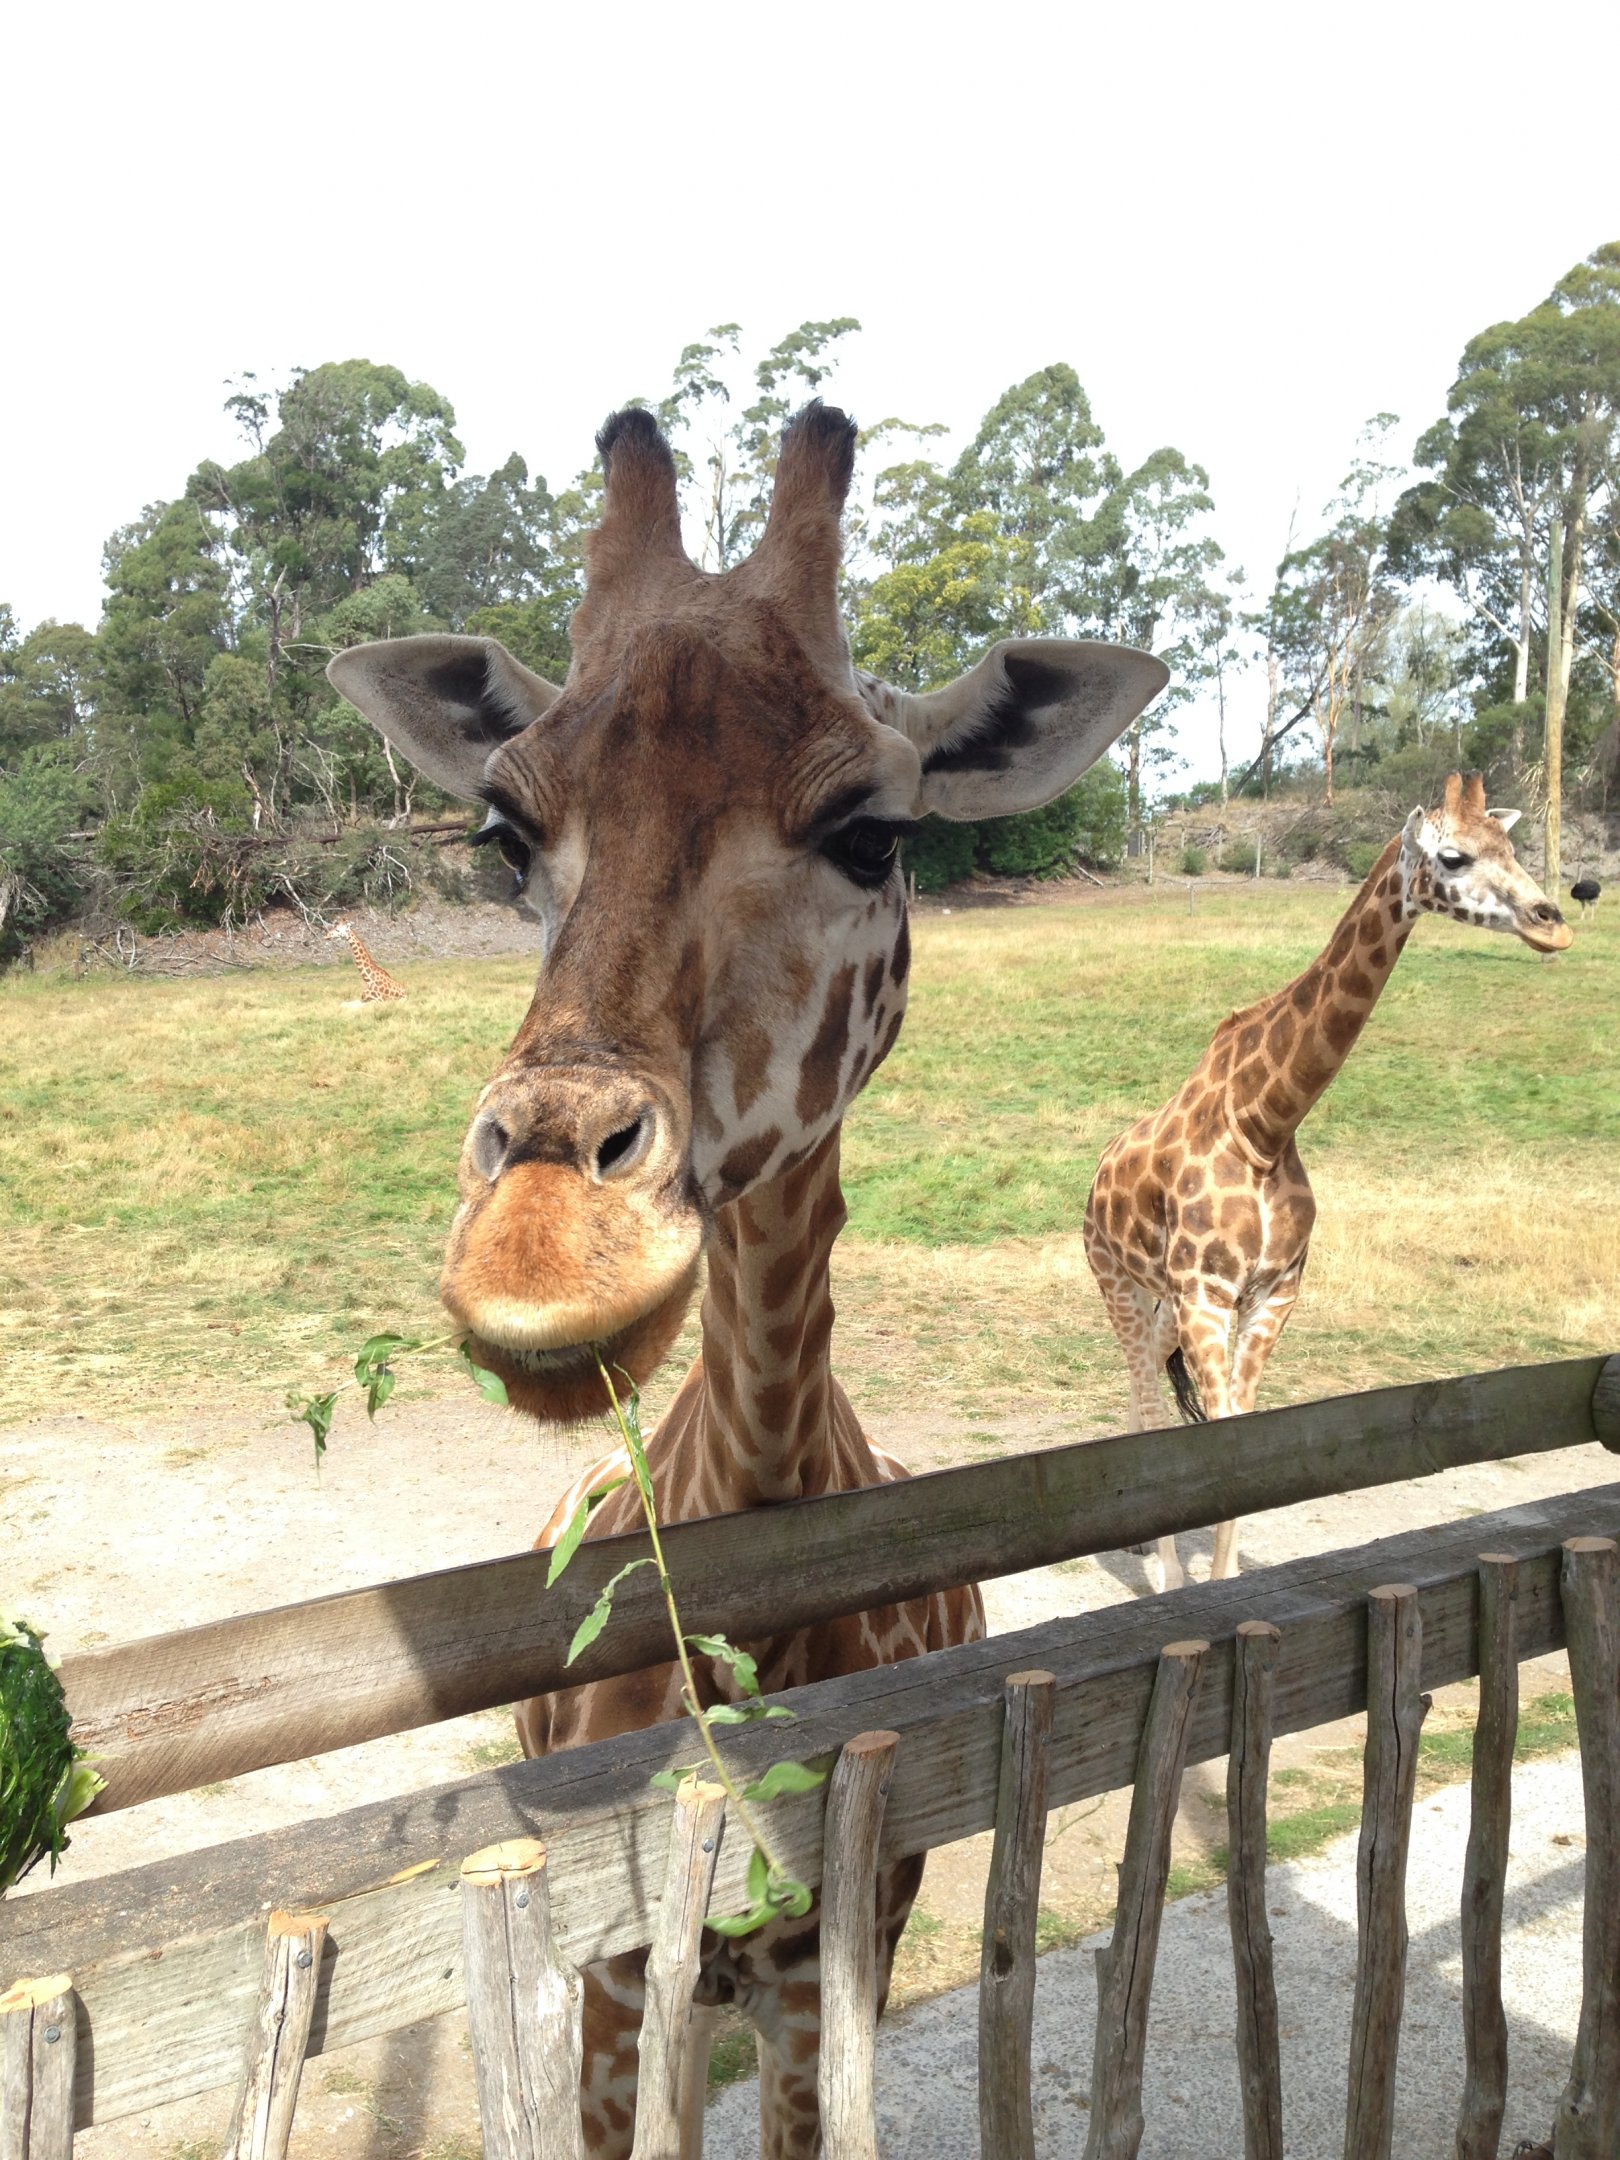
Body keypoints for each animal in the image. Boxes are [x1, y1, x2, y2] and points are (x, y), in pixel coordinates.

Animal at [1084, 773, 1572, 1593]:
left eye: (1512, 847)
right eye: (1453, 855)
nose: (1553, 922)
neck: (1262, 1125)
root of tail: (1095, 1177)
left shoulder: (1273, 1292)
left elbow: (1248, 1427)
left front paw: (1224, 1582)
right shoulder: (1209, 1295)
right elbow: (1222, 1431)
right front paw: (1190, 1591)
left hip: (1161, 1299)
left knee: (1146, 1373)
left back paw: (1144, 1546)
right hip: (1116, 1280)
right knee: (1146, 1390)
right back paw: (1160, 1570)